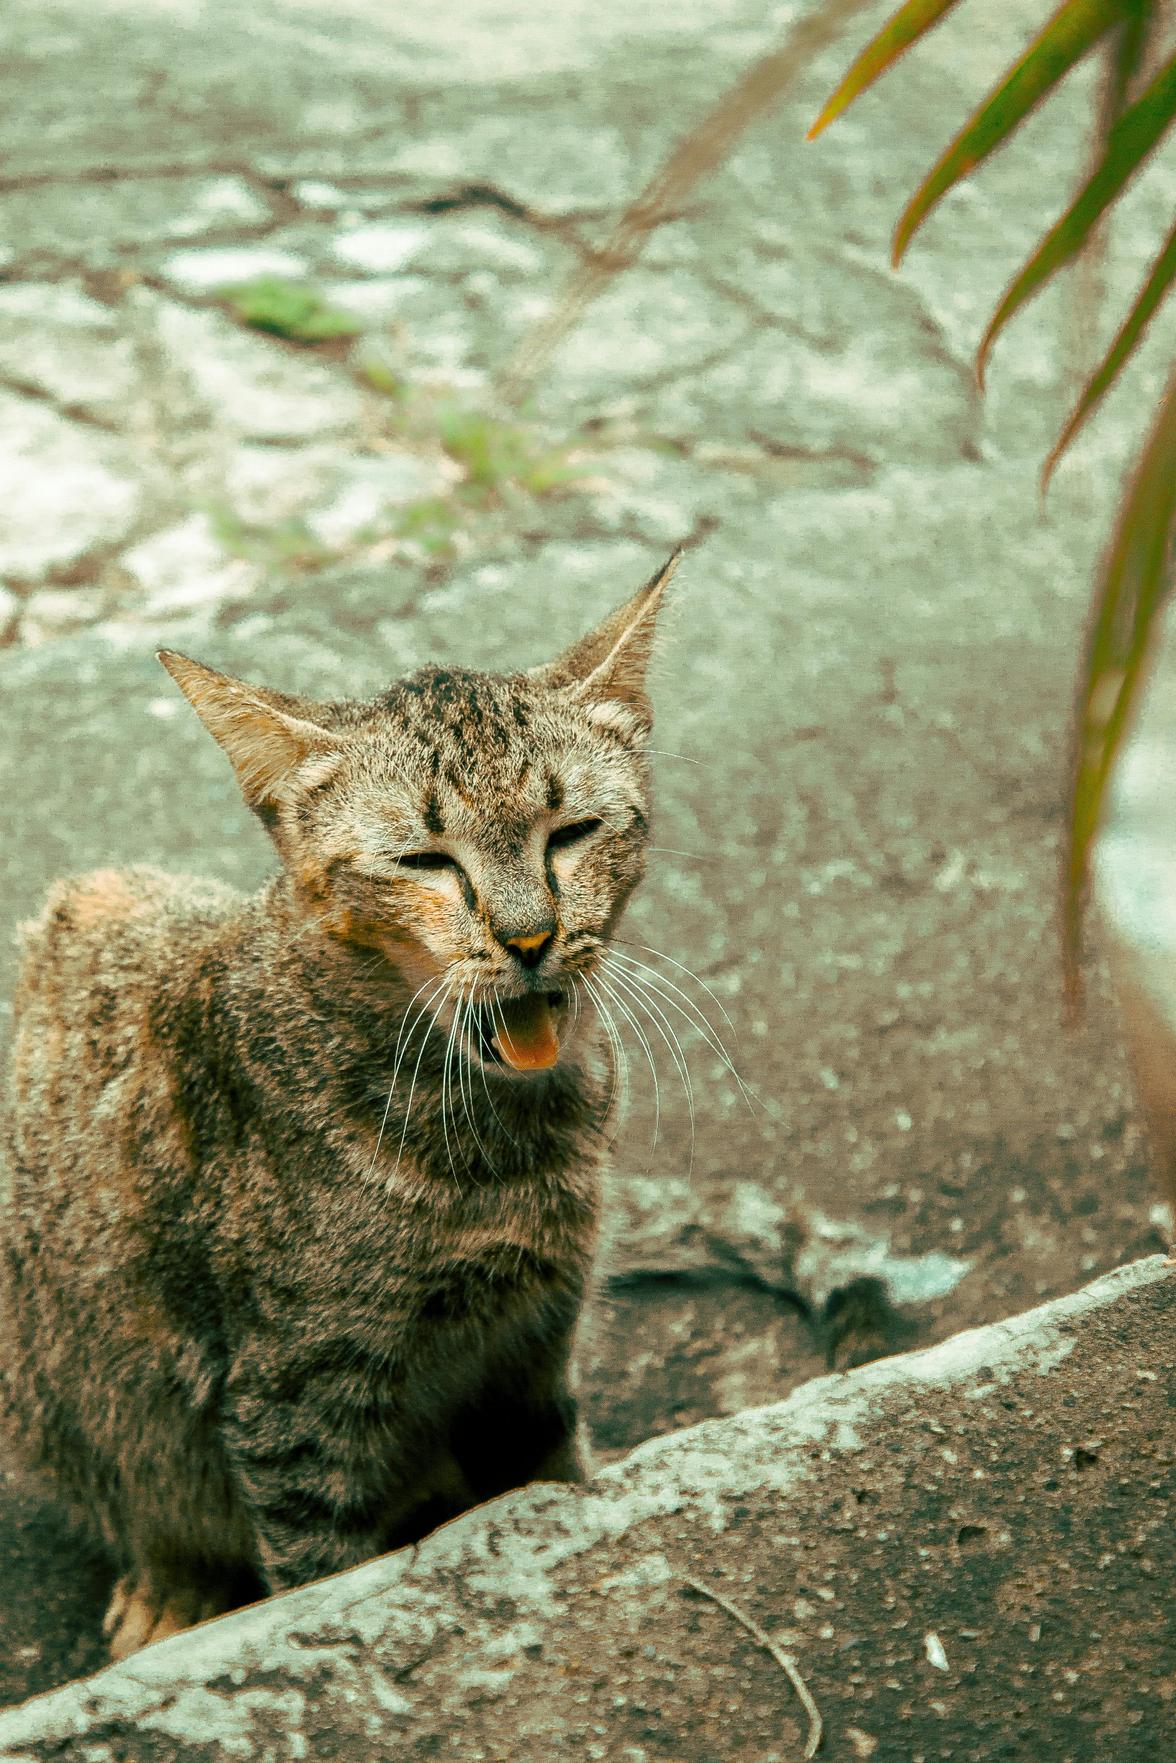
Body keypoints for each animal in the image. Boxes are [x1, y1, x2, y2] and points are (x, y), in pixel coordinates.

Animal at [0, 553, 677, 1664]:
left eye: (572, 832)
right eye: (425, 861)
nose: (531, 936)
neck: (500, 1138)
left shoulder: (530, 1349)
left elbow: (551, 1477)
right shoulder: (296, 1400)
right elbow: (322, 1578)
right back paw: (172, 1587)